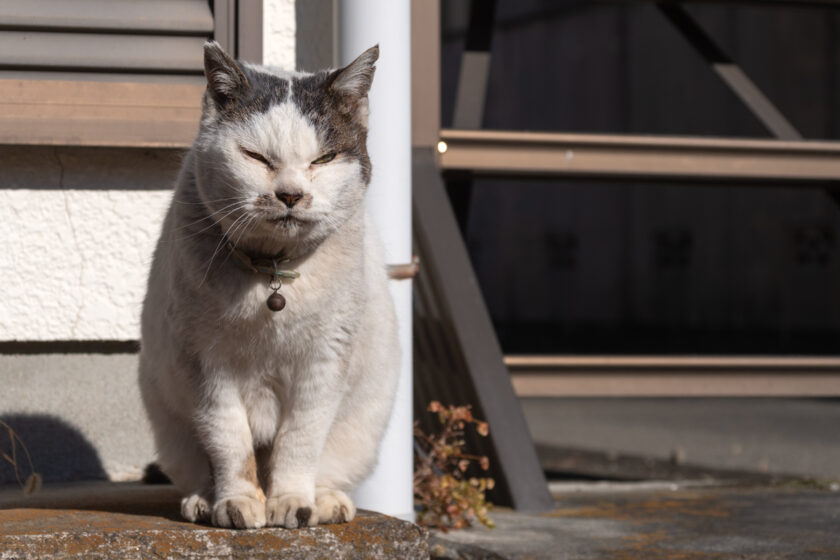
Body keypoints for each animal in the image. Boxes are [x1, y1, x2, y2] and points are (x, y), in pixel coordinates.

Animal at [138, 40, 400, 528]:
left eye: (323, 159)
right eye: (256, 158)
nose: (291, 194)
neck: (272, 275)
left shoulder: (324, 362)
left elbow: (301, 438)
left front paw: (292, 502)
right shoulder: (204, 363)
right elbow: (229, 440)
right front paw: (236, 502)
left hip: (364, 422)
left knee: (330, 461)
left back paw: (327, 502)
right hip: (167, 414)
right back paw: (202, 501)